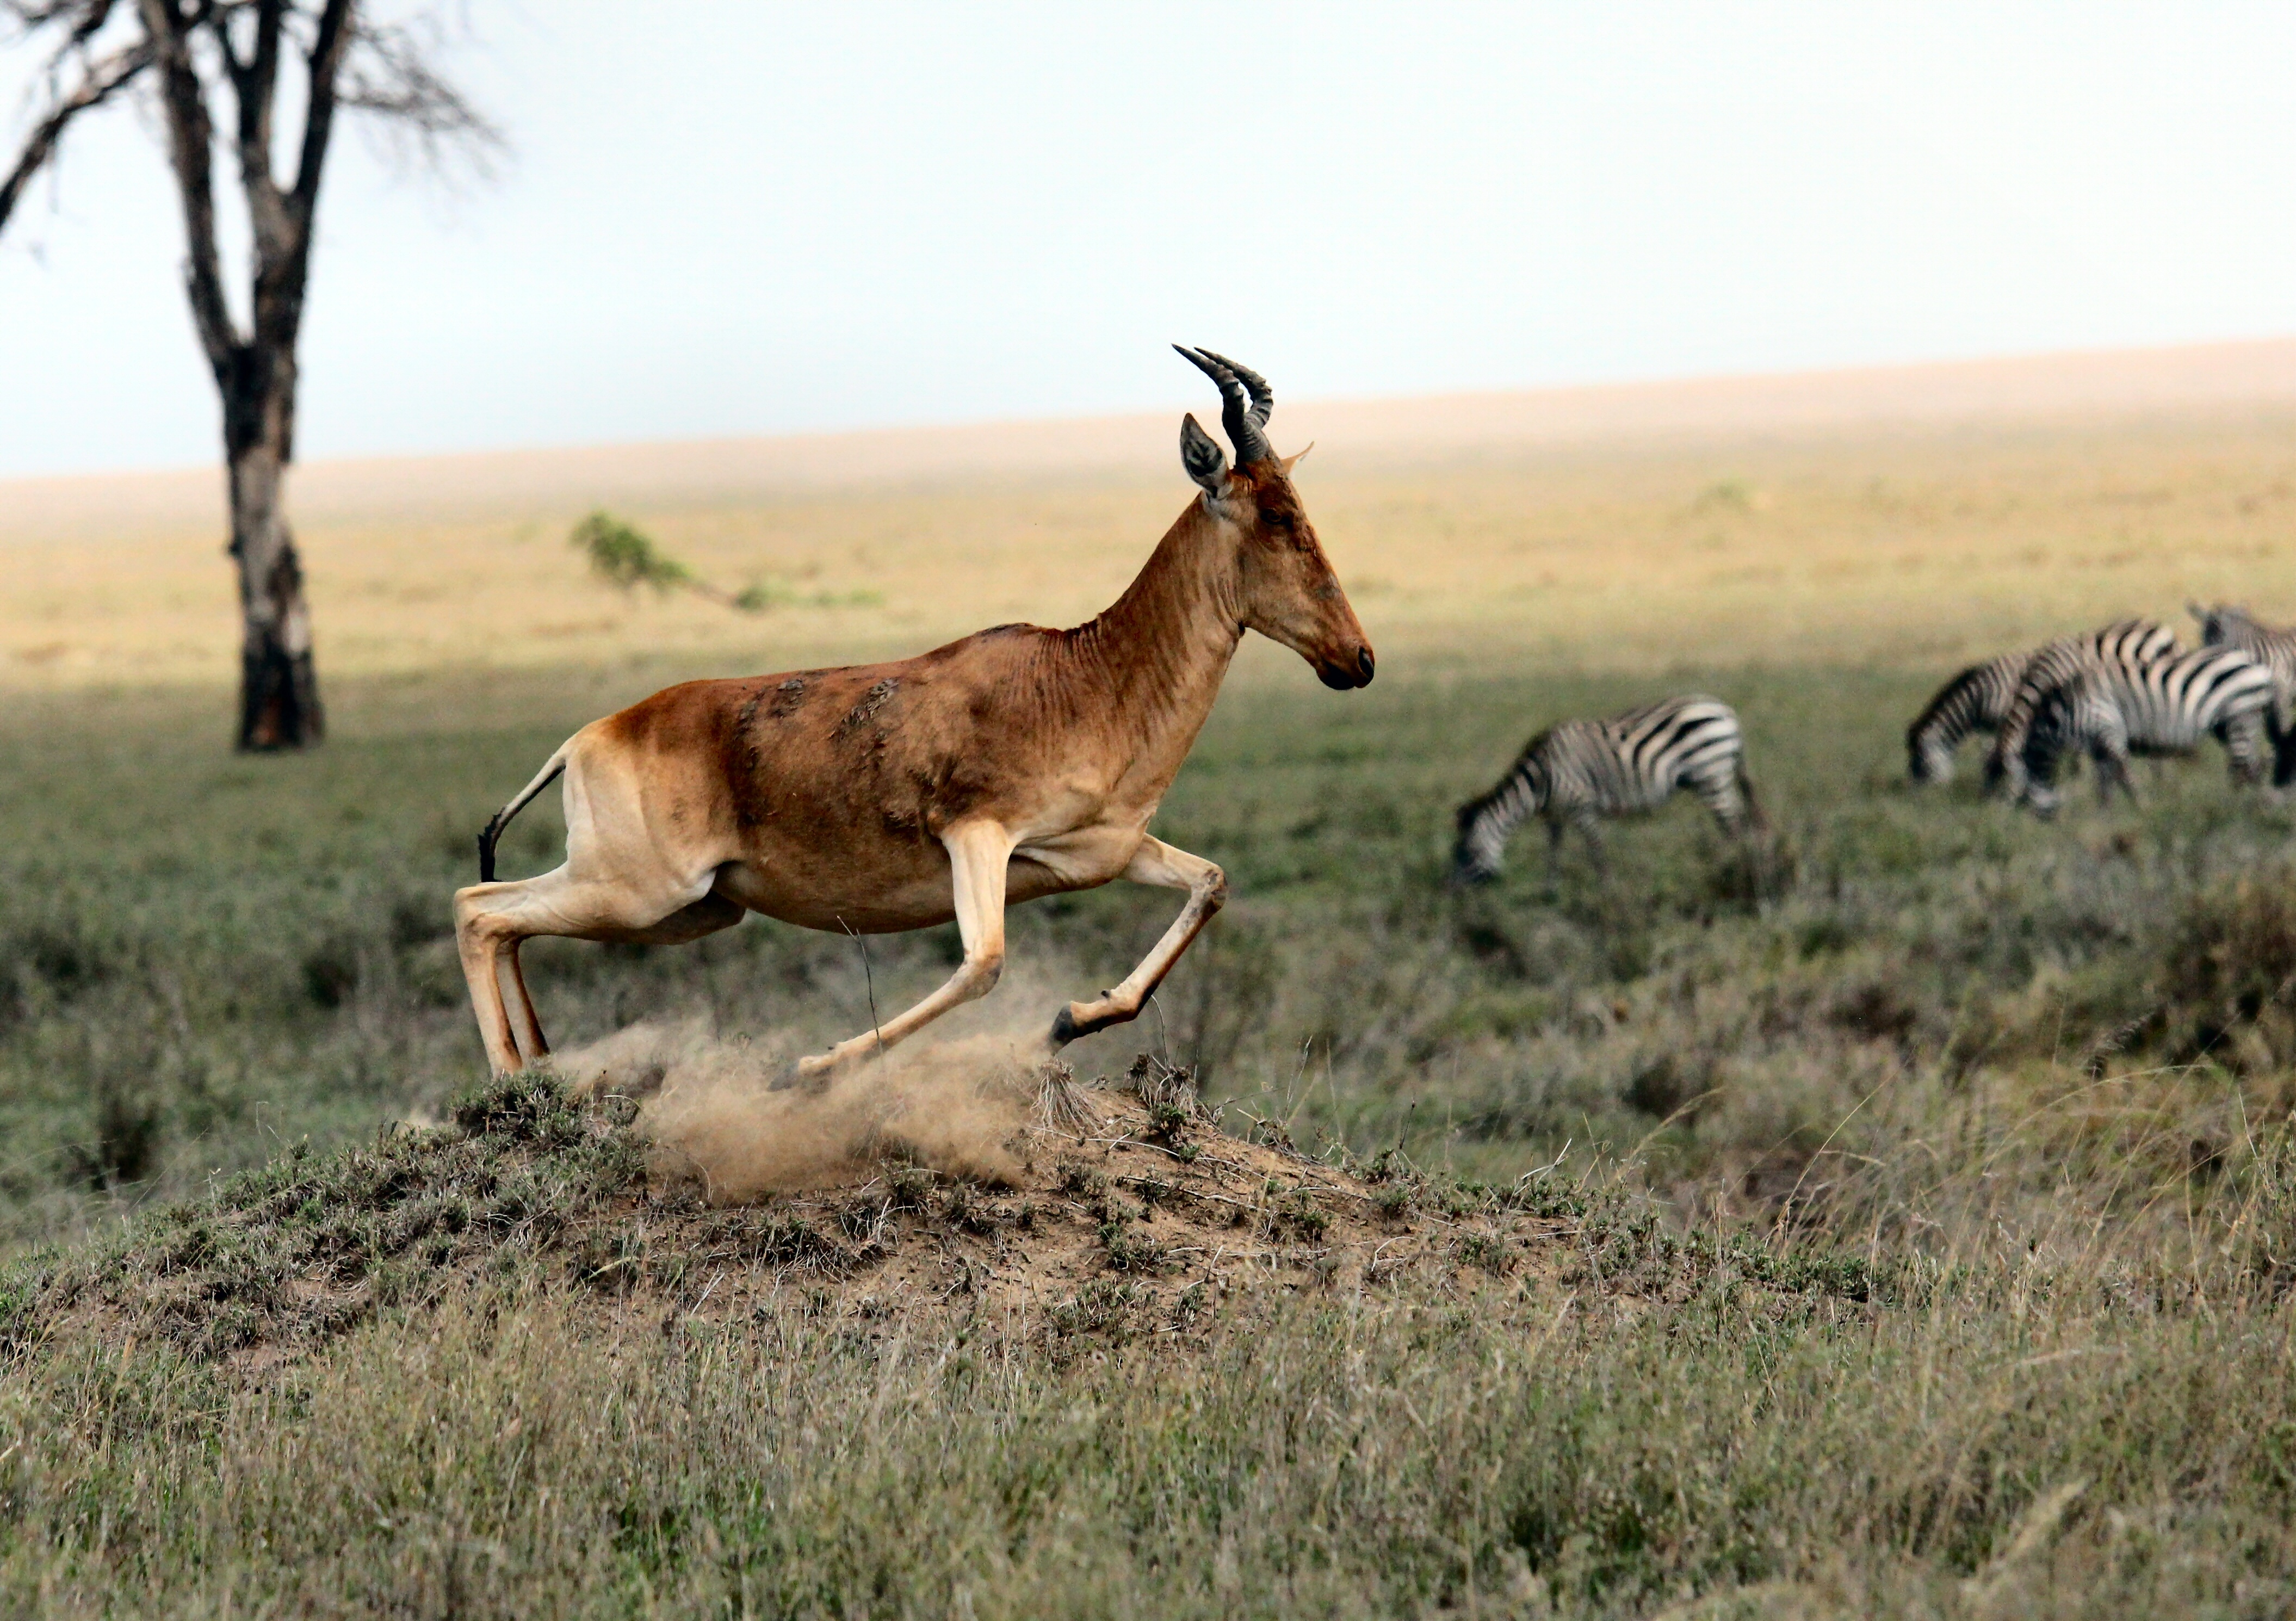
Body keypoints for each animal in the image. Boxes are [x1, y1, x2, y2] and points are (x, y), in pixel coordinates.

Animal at [456, 356, 1368, 1084]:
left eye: (1299, 505)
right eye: (1275, 516)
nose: (1355, 660)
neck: (1083, 674)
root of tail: (589, 737)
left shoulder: (1101, 854)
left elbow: (1210, 885)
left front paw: (1072, 1018)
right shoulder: (977, 836)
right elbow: (983, 964)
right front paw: (814, 1066)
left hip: (695, 909)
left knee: (504, 922)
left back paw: (540, 1069)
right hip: (642, 890)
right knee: (478, 907)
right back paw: (511, 1086)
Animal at [1451, 689, 1754, 877]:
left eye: (1465, 852)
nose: (1454, 895)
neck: (1540, 782)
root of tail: (1726, 710)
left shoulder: (1581, 807)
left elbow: (1596, 852)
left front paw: (1608, 892)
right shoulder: (1556, 815)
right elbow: (1553, 853)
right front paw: (1550, 893)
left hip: (1711, 775)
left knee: (1734, 825)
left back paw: (1727, 867)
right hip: (1717, 777)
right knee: (1738, 820)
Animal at [1910, 610, 2176, 781]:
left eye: (1921, 766)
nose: (1919, 801)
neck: (1985, 694)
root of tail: (2160, 629)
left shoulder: (2011, 714)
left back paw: (2159, 774)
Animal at [2002, 642, 2268, 813]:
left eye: (2018, 794)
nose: (2016, 823)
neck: (2070, 713)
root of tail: (2254, 664)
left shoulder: (2110, 732)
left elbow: (2125, 776)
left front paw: (2142, 808)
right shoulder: (2099, 746)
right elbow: (2105, 784)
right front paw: (2104, 818)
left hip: (2240, 718)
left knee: (2243, 767)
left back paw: (2232, 808)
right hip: (2230, 725)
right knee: (2253, 766)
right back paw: (2256, 807)